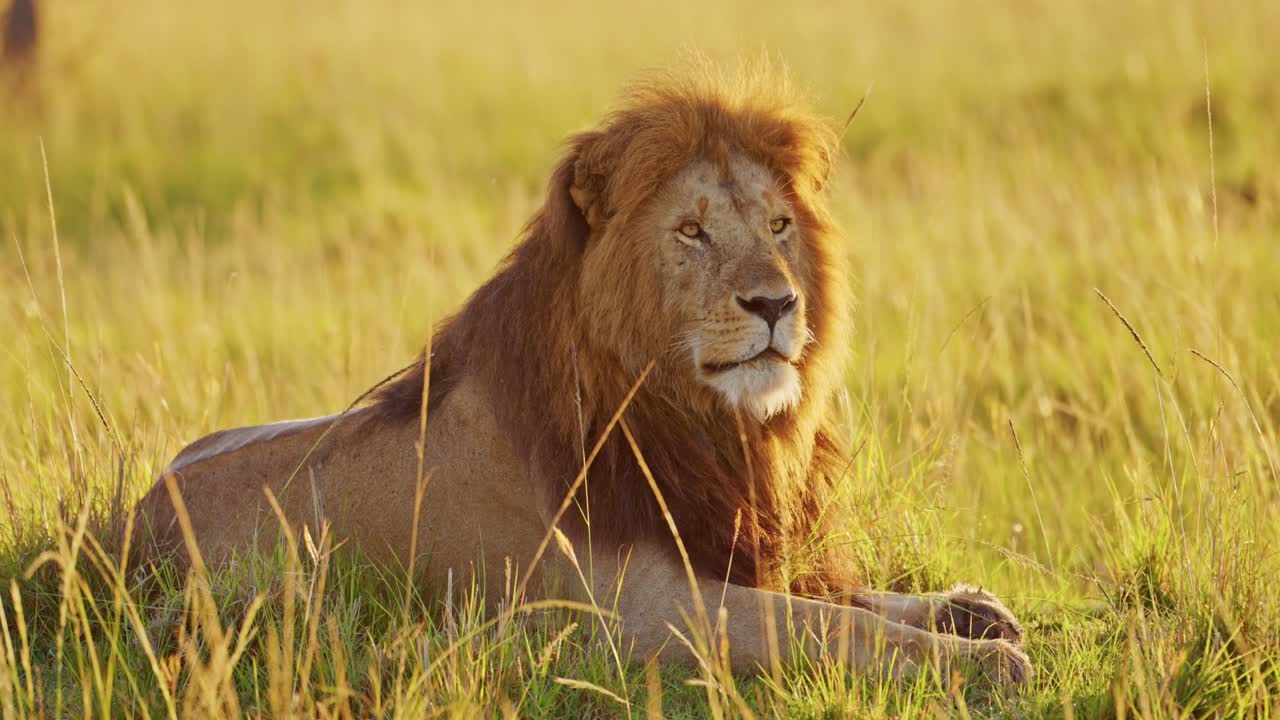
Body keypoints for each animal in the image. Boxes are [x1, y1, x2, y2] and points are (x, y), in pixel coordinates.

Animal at [132, 69, 1032, 687]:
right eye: (692, 232)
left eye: (779, 225)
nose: (778, 303)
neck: (697, 421)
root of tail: (123, 523)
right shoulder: (640, 609)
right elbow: (825, 625)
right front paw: (979, 663)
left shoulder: (725, 544)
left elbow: (845, 598)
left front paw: (968, 611)